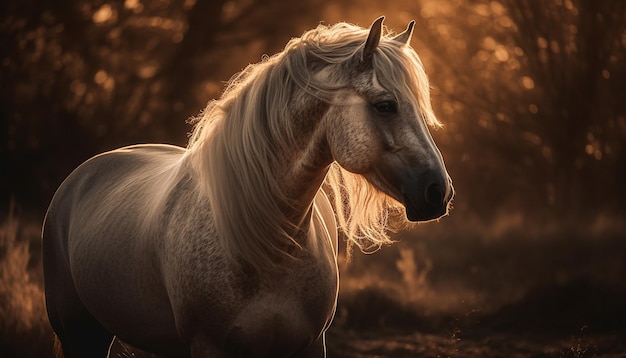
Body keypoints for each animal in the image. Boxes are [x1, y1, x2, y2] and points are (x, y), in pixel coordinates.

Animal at [44, 17, 454, 358]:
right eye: (385, 105)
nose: (439, 191)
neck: (267, 247)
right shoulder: (209, 346)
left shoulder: (310, 345)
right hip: (81, 334)